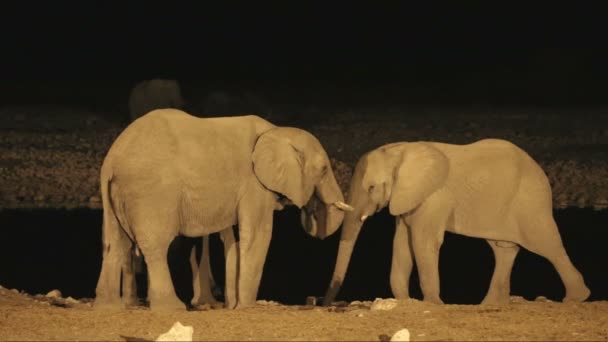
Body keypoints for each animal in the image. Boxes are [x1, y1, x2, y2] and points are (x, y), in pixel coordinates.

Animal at [94, 108, 352, 312]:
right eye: (324, 169)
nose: (311, 209)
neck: (276, 131)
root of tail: (111, 160)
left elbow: (234, 240)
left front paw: (235, 305)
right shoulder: (253, 184)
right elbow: (258, 235)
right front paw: (247, 307)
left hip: (118, 194)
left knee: (116, 243)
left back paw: (108, 306)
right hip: (151, 193)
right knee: (155, 246)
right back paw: (171, 308)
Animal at [326, 138, 592, 304]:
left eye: (371, 188)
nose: (326, 302)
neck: (400, 151)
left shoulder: (434, 196)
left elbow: (423, 242)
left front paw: (433, 303)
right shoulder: (407, 199)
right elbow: (402, 245)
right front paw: (405, 301)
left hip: (530, 202)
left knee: (547, 244)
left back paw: (577, 297)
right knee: (503, 249)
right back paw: (490, 304)